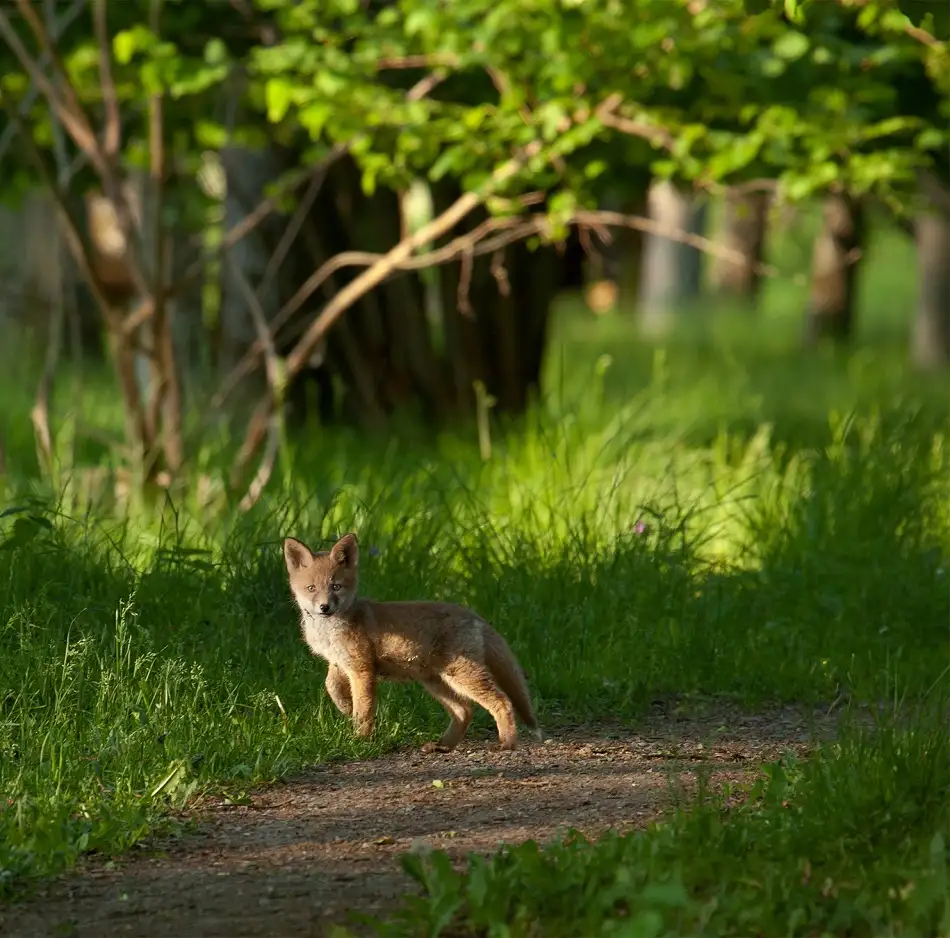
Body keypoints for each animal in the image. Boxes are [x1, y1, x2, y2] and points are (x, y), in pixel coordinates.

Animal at [283, 532, 542, 753]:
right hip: (436, 682)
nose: (325, 607)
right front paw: (345, 707)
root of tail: (473, 614)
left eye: (336, 586)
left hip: (462, 676)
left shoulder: (362, 669)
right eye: (311, 588)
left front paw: (360, 740)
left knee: (501, 701)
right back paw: (442, 746)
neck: (330, 631)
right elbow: (331, 687)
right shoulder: (339, 663)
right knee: (464, 710)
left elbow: (364, 710)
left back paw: (507, 743)